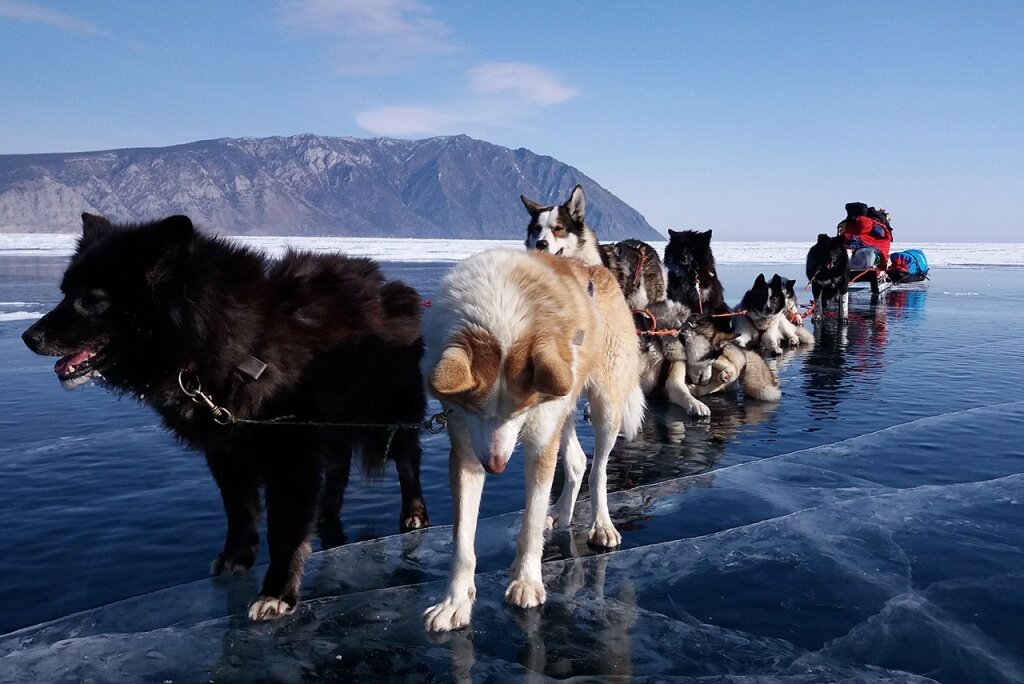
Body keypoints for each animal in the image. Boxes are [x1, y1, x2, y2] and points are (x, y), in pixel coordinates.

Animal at [20, 214, 428, 618]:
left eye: (92, 300)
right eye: (65, 293)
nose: (29, 337)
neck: (227, 340)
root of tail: (393, 288)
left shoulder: (290, 453)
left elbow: (284, 528)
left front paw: (277, 592)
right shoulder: (226, 450)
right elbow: (239, 511)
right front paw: (236, 559)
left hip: (394, 412)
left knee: (408, 461)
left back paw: (413, 513)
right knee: (339, 467)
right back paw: (326, 513)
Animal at [419, 248, 643, 634]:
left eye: (516, 412)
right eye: (475, 411)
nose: (495, 465)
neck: (501, 317)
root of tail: (595, 268)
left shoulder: (539, 441)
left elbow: (531, 521)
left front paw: (526, 581)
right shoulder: (466, 450)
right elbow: (462, 541)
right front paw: (455, 602)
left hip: (603, 405)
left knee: (598, 469)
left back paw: (601, 525)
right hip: (562, 409)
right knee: (577, 462)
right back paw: (562, 513)